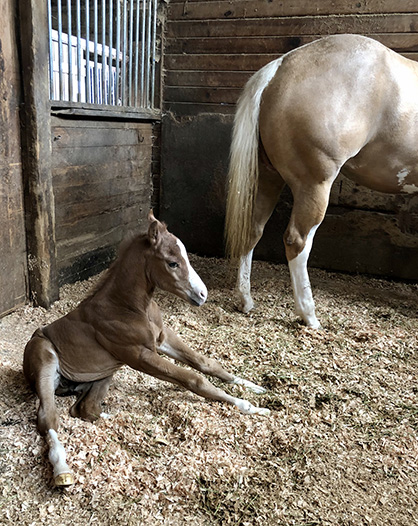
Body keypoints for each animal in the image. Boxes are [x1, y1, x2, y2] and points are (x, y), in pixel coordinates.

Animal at [24, 212, 270, 488]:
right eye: (173, 263)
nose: (202, 294)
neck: (127, 306)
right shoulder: (139, 355)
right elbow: (194, 379)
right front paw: (248, 406)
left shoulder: (163, 338)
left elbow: (206, 363)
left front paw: (252, 386)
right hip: (44, 360)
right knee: (48, 417)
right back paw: (62, 469)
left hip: (105, 373)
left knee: (85, 409)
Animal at [225, 34, 418, 330]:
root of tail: (279, 68)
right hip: (315, 185)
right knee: (297, 241)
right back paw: (309, 316)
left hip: (268, 178)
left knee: (253, 231)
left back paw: (245, 300)